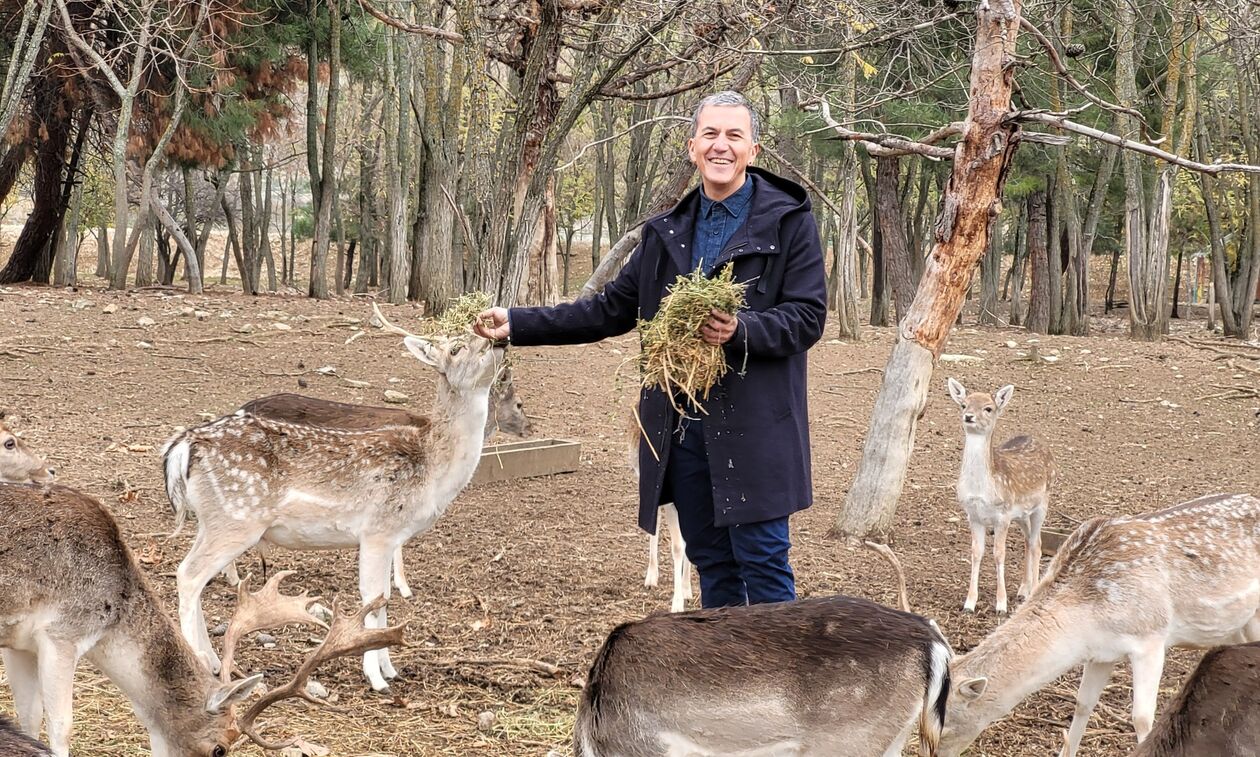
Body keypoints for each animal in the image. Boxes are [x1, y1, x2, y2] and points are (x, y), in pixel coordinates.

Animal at [162, 306, 501, 690]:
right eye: (456, 348)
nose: (497, 340)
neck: (430, 470)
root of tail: (184, 445)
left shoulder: (391, 536)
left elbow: (384, 601)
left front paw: (390, 669)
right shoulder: (377, 530)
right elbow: (373, 599)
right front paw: (376, 679)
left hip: (212, 520)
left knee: (192, 576)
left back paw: (215, 662)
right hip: (237, 519)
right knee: (188, 575)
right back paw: (202, 665)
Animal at [947, 377, 1053, 614]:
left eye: (988, 408)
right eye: (964, 404)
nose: (969, 416)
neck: (981, 490)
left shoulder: (1002, 515)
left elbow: (999, 554)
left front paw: (1001, 605)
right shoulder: (973, 515)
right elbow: (977, 552)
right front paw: (969, 604)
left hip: (1043, 502)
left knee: (1037, 543)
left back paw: (1032, 590)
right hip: (1021, 514)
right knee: (1028, 540)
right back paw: (1023, 589)